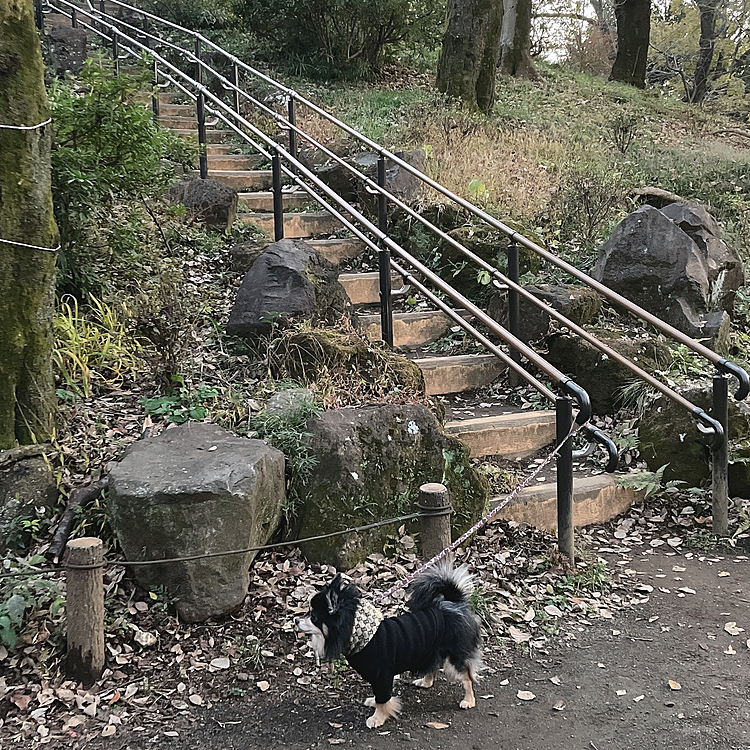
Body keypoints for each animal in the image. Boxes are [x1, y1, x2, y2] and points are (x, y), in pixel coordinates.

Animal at [296, 564, 482, 728]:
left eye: (313, 616)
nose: (296, 620)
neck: (362, 636)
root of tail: (453, 604)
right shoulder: (376, 676)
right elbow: (378, 695)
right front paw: (374, 703)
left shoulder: (382, 674)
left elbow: (383, 698)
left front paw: (377, 718)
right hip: (431, 651)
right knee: (434, 665)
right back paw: (425, 682)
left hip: (455, 656)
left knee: (467, 676)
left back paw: (468, 700)